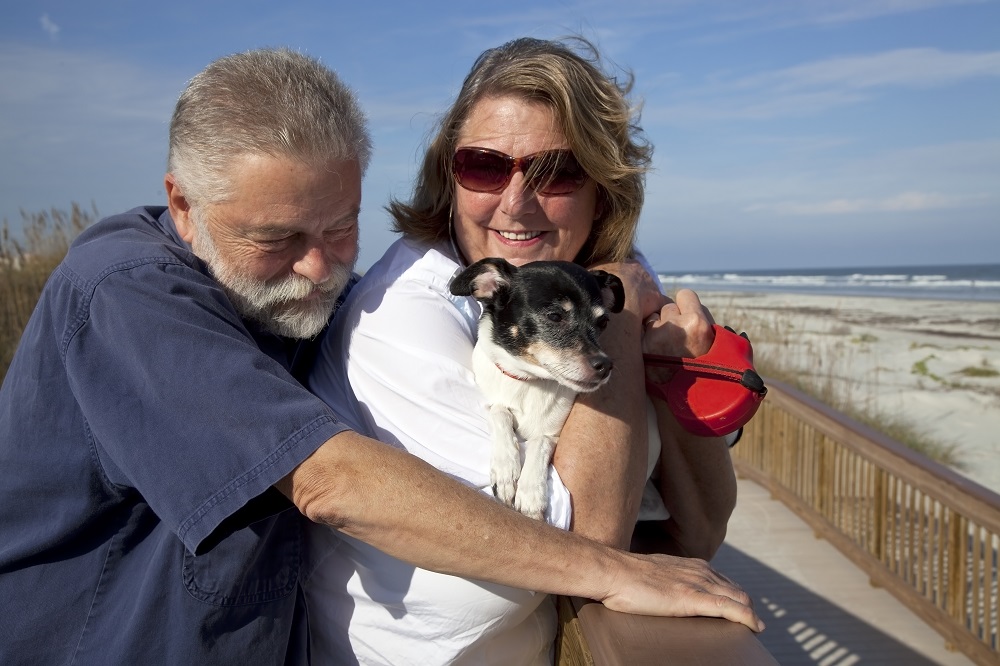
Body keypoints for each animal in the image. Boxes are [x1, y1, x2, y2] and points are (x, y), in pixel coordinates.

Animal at [450, 256, 620, 516]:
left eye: (603, 322)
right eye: (555, 316)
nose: (605, 365)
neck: (528, 381)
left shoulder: (553, 434)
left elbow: (539, 442)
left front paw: (531, 492)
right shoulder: (491, 402)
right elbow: (500, 412)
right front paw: (506, 468)